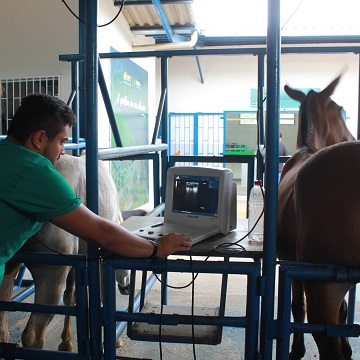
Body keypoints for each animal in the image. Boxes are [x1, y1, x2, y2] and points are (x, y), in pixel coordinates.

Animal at [0, 154, 129, 352]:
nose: (127, 288)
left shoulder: (79, 261)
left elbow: (71, 297)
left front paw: (66, 342)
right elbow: (100, 294)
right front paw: (113, 340)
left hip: (10, 267)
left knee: (3, 331)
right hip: (52, 274)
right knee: (33, 335)